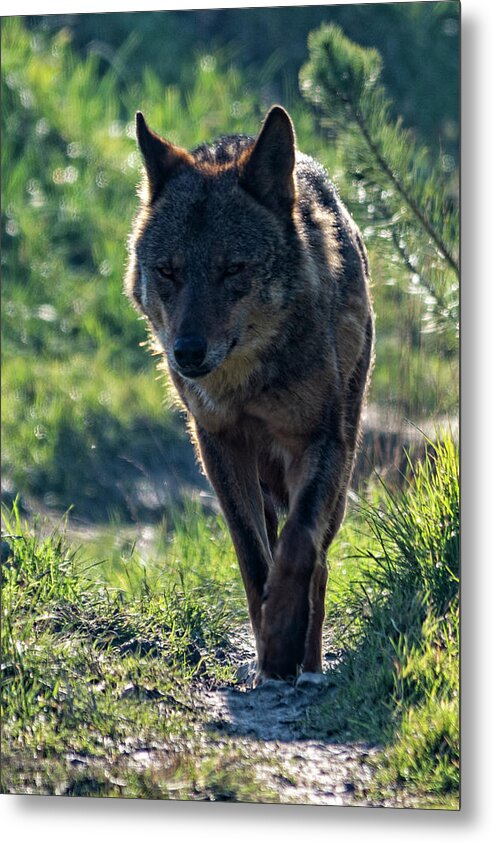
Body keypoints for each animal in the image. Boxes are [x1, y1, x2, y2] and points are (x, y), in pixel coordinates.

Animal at [126, 105, 372, 684]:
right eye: (168, 271)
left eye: (232, 269)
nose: (187, 352)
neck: (247, 385)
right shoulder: (219, 445)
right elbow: (254, 558)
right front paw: (267, 654)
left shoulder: (320, 441)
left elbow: (299, 545)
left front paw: (284, 644)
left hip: (342, 467)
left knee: (320, 559)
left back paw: (309, 661)